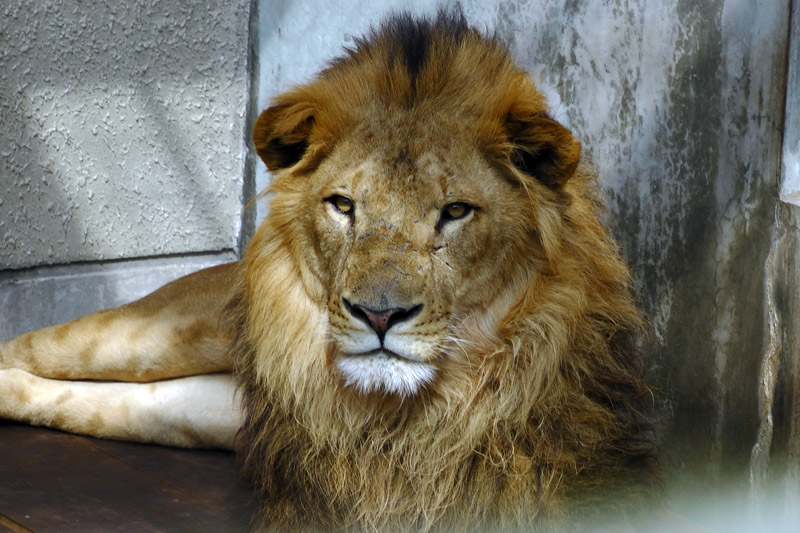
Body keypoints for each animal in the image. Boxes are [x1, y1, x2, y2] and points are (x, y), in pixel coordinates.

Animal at [0, 10, 656, 528]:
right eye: (343, 206)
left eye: (455, 212)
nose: (379, 315)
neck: (398, 423)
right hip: (156, 334)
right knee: (28, 346)